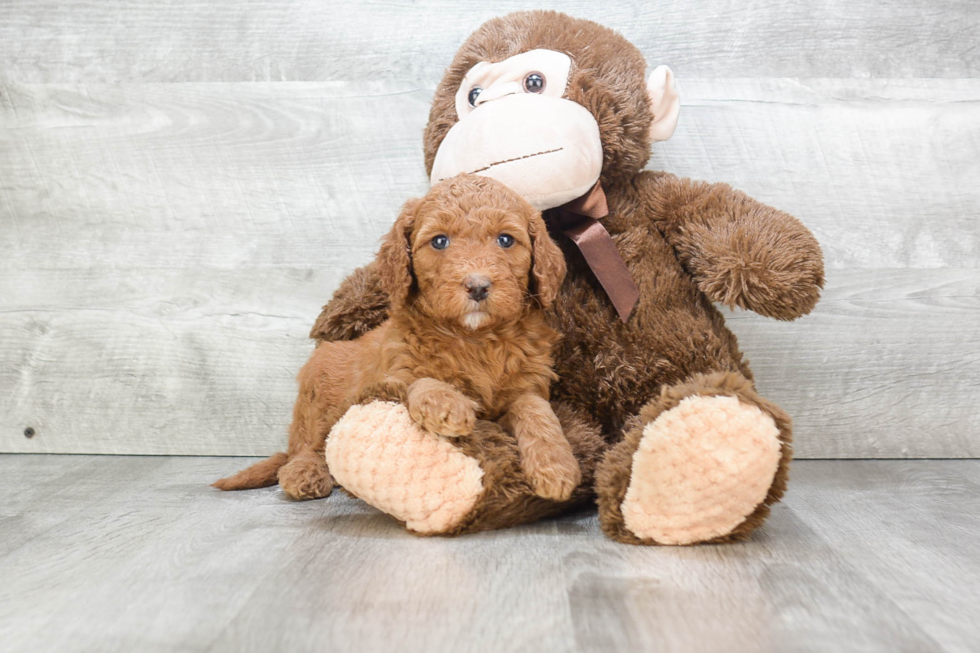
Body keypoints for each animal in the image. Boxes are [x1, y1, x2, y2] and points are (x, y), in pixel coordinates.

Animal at [215, 173, 580, 500]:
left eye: (505, 240)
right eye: (440, 241)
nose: (477, 285)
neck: (475, 338)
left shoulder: (527, 384)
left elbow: (535, 409)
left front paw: (555, 465)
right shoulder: (395, 372)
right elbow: (421, 381)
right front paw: (446, 404)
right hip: (317, 396)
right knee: (308, 446)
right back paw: (305, 473)